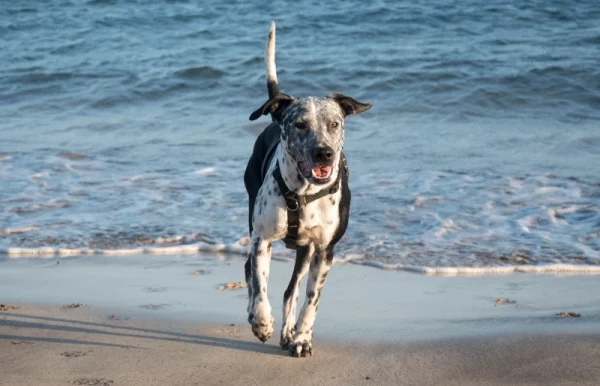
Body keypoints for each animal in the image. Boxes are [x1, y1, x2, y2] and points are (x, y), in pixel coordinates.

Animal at [244, 21, 370, 358]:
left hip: (305, 251)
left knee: (292, 291)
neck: (302, 193)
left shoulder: (324, 250)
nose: (324, 153)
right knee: (250, 272)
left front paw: (301, 337)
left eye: (335, 123)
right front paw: (262, 321)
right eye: (299, 124)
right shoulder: (262, 239)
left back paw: (289, 332)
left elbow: (311, 301)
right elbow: (260, 286)